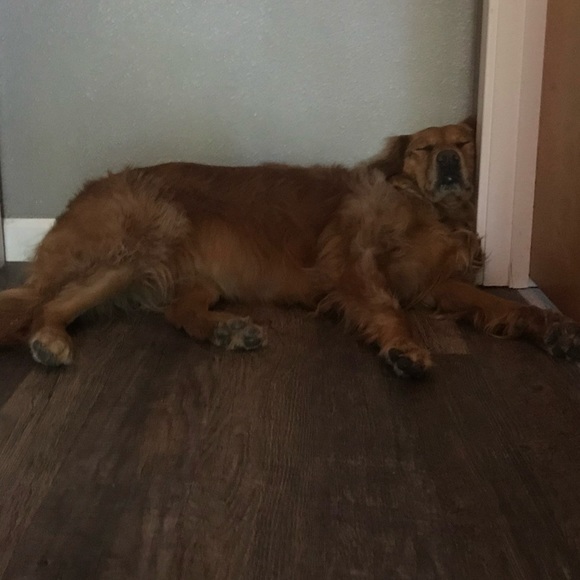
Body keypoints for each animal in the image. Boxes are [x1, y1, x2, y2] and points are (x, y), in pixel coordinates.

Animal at [0, 118, 578, 378]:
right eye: (423, 149)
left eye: (463, 144)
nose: (450, 163)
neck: (429, 210)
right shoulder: (351, 262)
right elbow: (388, 308)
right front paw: (405, 348)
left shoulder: (436, 283)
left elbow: (496, 304)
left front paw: (551, 329)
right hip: (142, 234)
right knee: (41, 304)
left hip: (168, 267)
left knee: (170, 312)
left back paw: (226, 330)